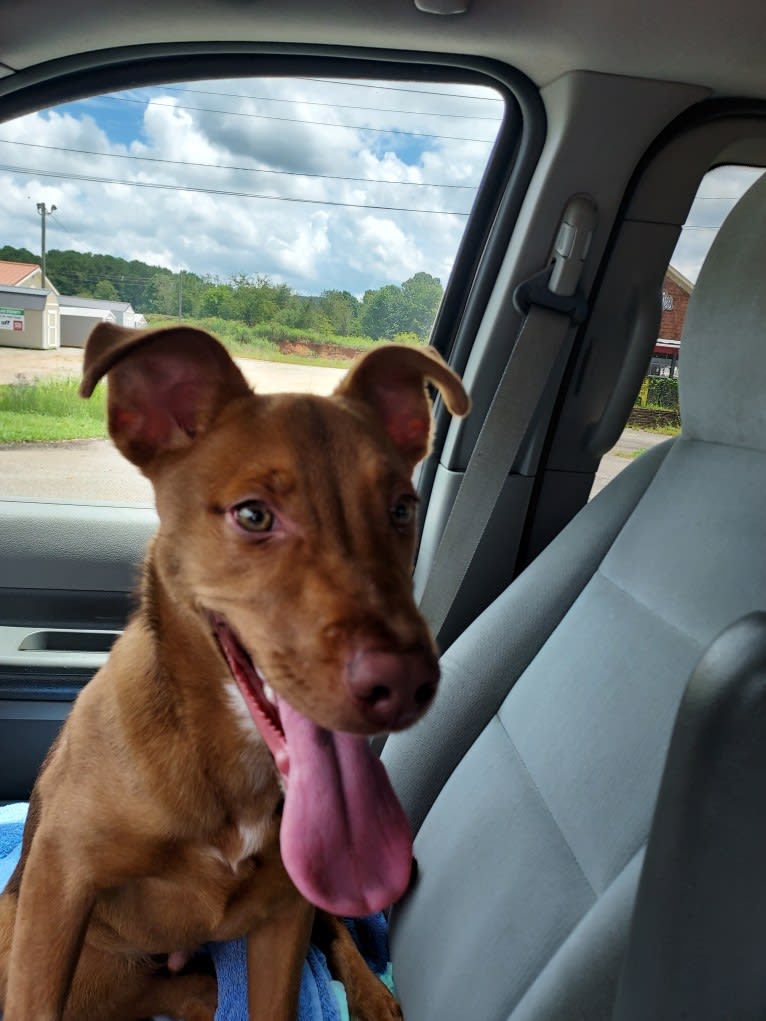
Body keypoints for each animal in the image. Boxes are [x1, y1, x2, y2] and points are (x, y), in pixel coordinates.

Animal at [0, 324, 467, 1021]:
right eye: (252, 515)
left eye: (402, 510)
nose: (409, 686)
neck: (230, 763)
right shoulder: (56, 894)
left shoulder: (283, 919)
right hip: (78, 961)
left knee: (328, 934)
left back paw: (368, 991)